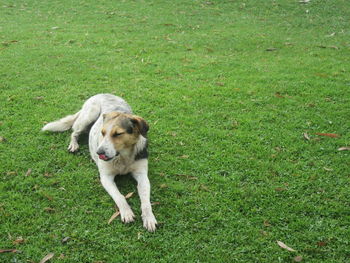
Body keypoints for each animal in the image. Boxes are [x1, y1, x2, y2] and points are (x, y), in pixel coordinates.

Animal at [42, 94, 159, 232]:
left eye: (118, 134)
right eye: (102, 133)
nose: (98, 153)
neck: (122, 157)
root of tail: (101, 94)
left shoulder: (142, 176)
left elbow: (146, 201)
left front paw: (149, 217)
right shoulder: (106, 177)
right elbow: (119, 196)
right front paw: (126, 212)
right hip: (89, 116)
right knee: (74, 132)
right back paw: (74, 145)